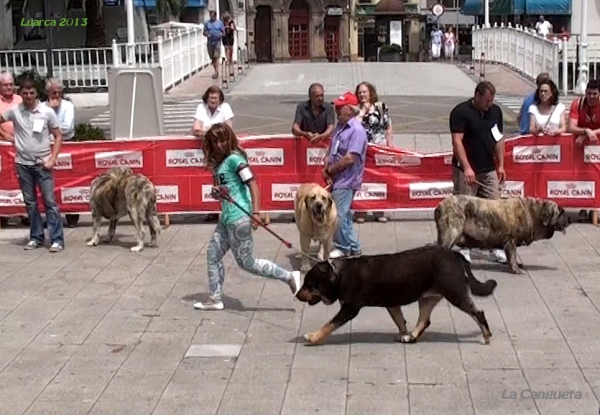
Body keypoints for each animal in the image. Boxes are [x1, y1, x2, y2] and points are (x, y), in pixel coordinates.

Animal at [434, 196, 568, 274]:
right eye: (561, 212)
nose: (569, 218)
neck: (532, 213)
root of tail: (439, 206)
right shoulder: (510, 241)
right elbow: (512, 255)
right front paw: (516, 269)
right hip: (451, 233)